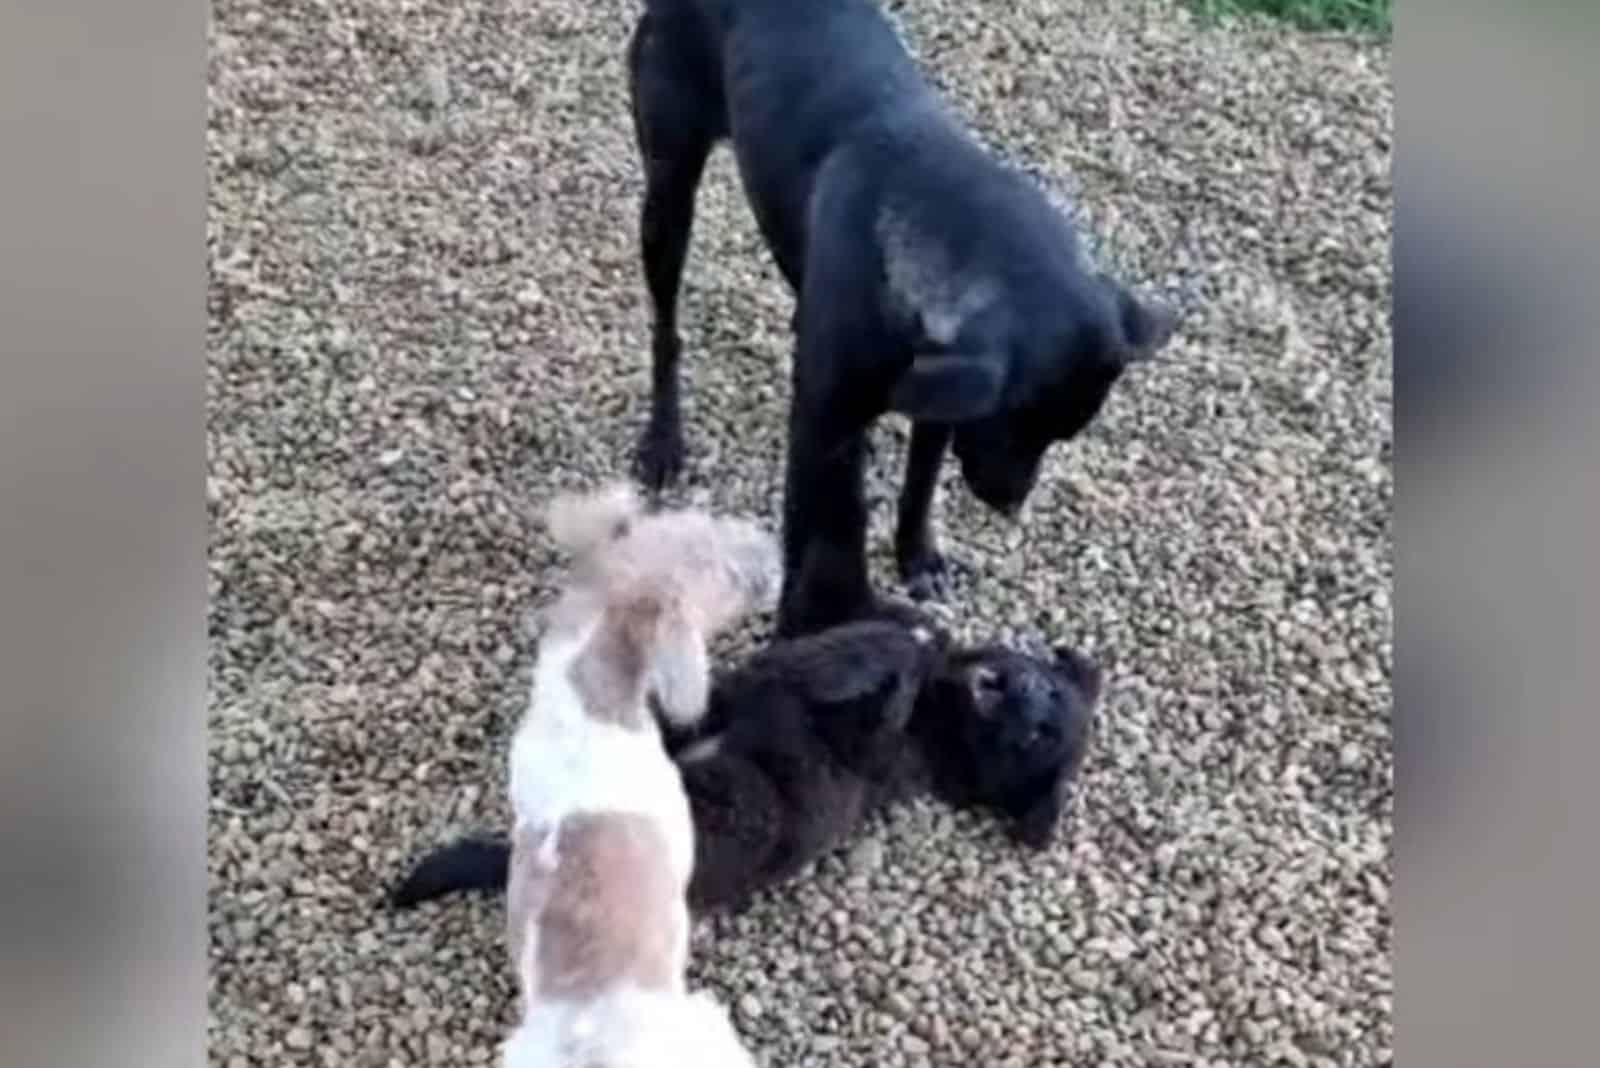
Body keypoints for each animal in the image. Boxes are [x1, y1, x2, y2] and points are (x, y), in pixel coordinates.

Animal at [387, 620, 1100, 914]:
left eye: (1039, 735)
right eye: (1047, 697)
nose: (1025, 694)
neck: (946, 718)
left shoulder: (874, 747)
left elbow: (876, 675)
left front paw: (910, 653)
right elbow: (870, 638)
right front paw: (924, 635)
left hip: (744, 804)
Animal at [630, 0, 1184, 633]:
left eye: (1058, 436)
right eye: (1014, 423)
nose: (1010, 503)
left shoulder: (941, 395)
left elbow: (919, 484)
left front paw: (917, 556)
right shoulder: (823, 425)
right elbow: (819, 523)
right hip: (668, 191)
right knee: (666, 325)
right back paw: (664, 439)